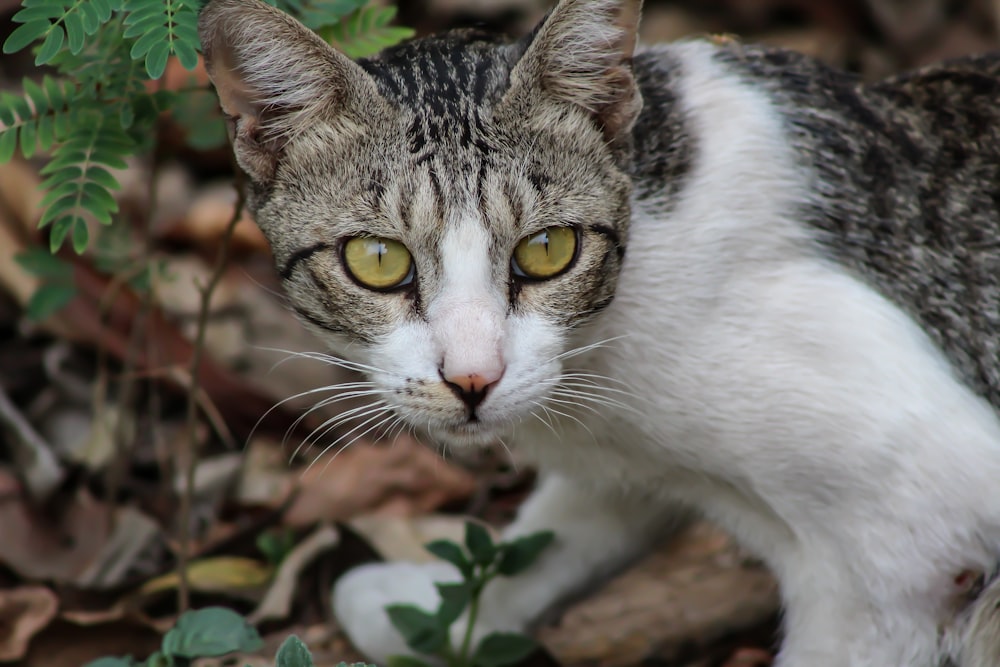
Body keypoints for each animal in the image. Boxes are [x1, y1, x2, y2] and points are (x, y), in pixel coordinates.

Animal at [197, 1, 1000, 664]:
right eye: (377, 260)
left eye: (548, 249)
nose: (473, 377)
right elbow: (565, 532)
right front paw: (435, 615)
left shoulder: (908, 551)